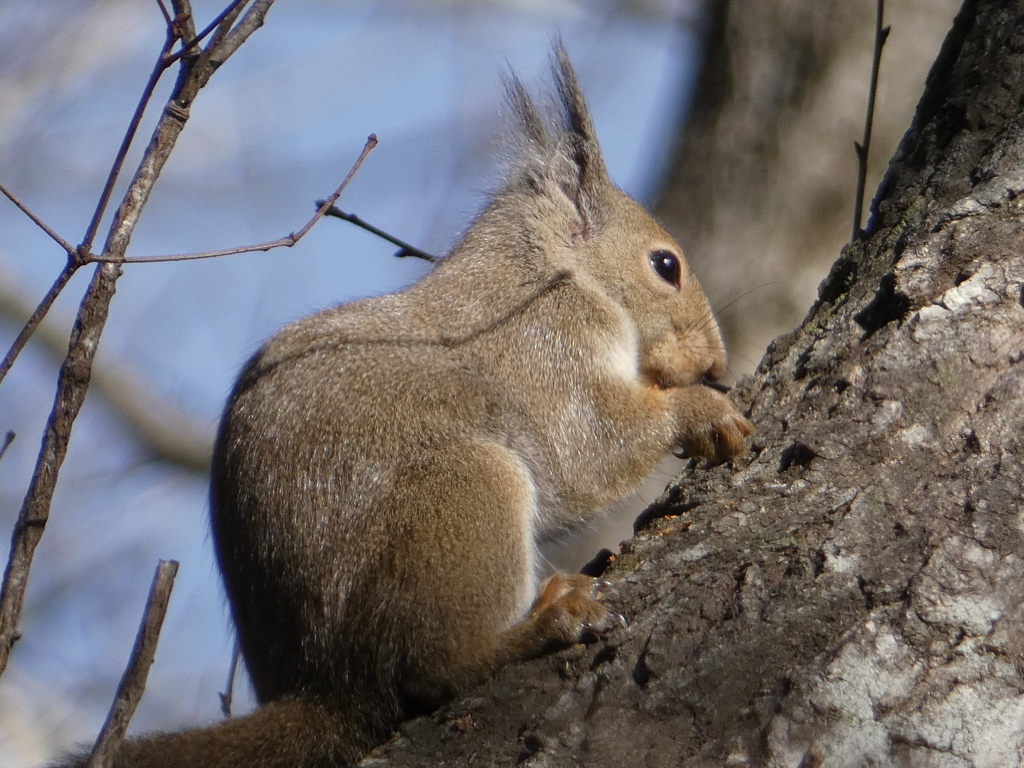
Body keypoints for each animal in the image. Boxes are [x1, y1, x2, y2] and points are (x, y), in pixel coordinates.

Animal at [49, 46, 753, 768]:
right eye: (665, 265)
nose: (715, 363)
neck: (547, 274)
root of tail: (326, 687)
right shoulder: (545, 348)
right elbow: (584, 451)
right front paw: (702, 410)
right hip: (465, 496)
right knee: (432, 669)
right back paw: (545, 623)